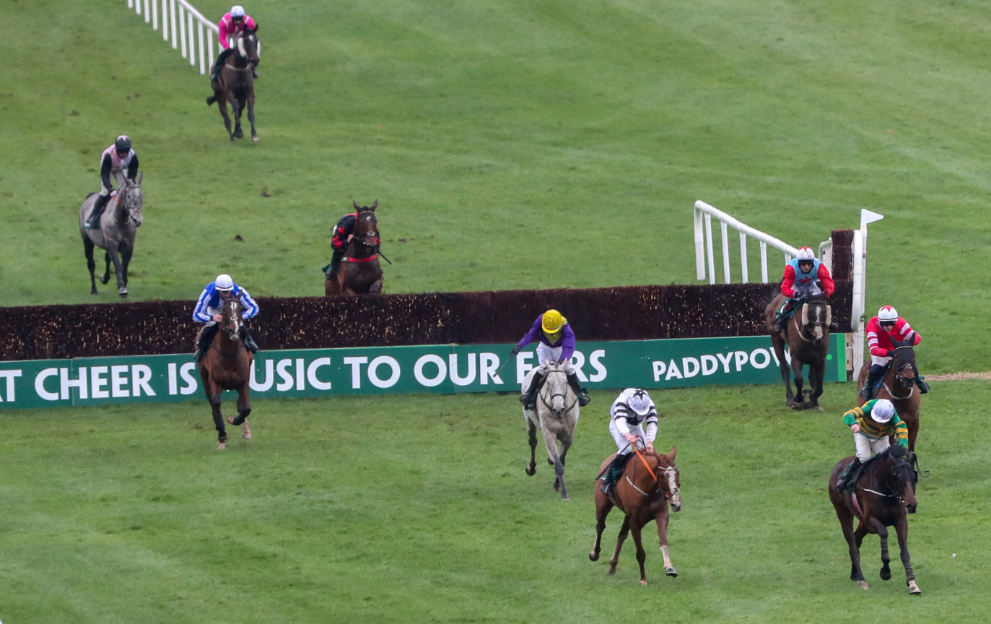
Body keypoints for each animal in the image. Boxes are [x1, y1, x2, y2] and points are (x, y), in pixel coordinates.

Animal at [197, 298, 252, 448]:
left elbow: (245, 408)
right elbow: (216, 403)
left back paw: (246, 430)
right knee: (212, 402)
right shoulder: (215, 380)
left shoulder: (243, 380)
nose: (234, 330)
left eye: (240, 309)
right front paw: (222, 436)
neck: (229, 353)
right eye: (224, 311)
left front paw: (232, 419)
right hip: (203, 375)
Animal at [524, 364, 576, 500]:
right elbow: (558, 463)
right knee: (533, 442)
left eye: (565, 382)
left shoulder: (569, 436)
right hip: (530, 421)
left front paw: (557, 484)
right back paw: (531, 468)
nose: (558, 409)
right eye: (548, 383)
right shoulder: (549, 432)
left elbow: (561, 460)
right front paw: (564, 493)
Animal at [588, 448, 680, 584]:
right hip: (602, 506)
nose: (676, 504)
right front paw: (643, 579)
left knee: (622, 534)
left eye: (677, 473)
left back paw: (612, 565)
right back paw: (595, 553)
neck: (647, 487)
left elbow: (663, 541)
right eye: (662, 475)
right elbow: (640, 552)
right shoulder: (634, 520)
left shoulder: (661, 514)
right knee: (600, 527)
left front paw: (669, 568)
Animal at [824, 444, 920, 596]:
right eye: (898, 477)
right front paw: (885, 571)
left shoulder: (900, 521)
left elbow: (905, 553)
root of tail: (838, 465)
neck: (885, 491)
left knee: (856, 539)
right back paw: (862, 580)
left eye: (913, 476)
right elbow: (884, 532)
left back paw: (855, 575)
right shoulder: (870, 521)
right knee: (852, 546)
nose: (912, 505)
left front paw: (912, 583)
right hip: (843, 512)